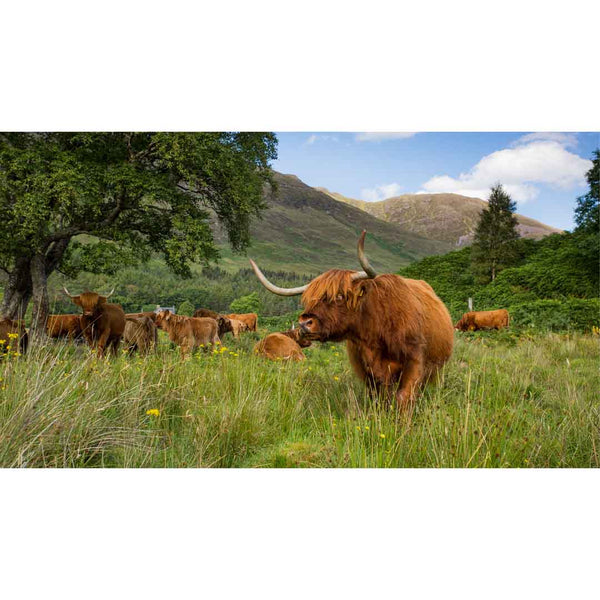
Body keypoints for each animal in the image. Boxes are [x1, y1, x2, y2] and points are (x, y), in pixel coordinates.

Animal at [247, 230, 450, 408]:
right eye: (310, 299)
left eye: (339, 296)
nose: (305, 323)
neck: (377, 330)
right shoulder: (367, 370)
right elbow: (380, 397)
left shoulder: (414, 361)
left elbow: (403, 397)